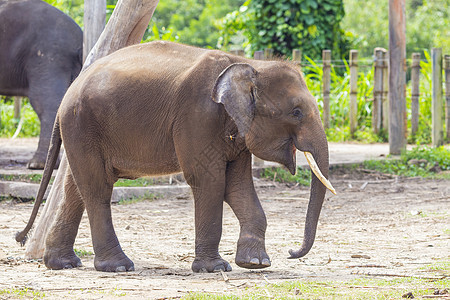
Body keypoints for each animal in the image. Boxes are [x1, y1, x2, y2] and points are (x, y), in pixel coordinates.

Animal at [16, 41, 334, 274]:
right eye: (296, 112)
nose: (292, 252)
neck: (249, 65)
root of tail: (65, 98)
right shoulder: (198, 116)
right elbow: (209, 181)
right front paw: (215, 269)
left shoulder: (238, 130)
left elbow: (238, 186)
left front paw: (256, 263)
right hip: (83, 124)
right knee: (97, 189)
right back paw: (118, 267)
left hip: (82, 130)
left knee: (76, 188)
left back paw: (63, 264)